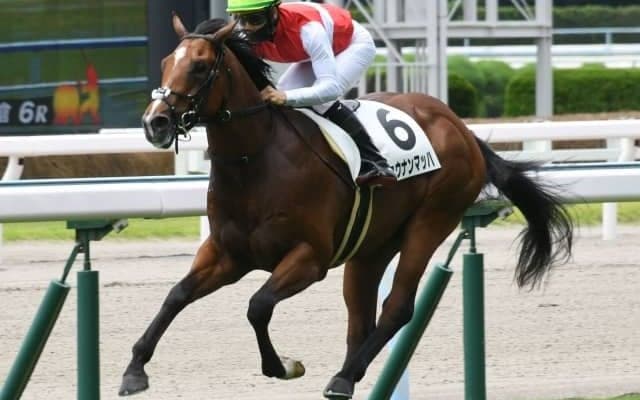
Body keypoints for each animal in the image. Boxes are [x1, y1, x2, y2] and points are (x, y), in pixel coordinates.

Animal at [119, 16, 573, 399]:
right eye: (165, 62)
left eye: (199, 67)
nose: (154, 122)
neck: (257, 161)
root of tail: (460, 127)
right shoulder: (227, 254)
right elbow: (176, 295)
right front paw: (134, 370)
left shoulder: (309, 257)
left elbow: (258, 306)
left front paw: (284, 366)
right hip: (370, 247)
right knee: (361, 318)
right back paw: (350, 376)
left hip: (431, 221)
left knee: (397, 307)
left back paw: (343, 377)